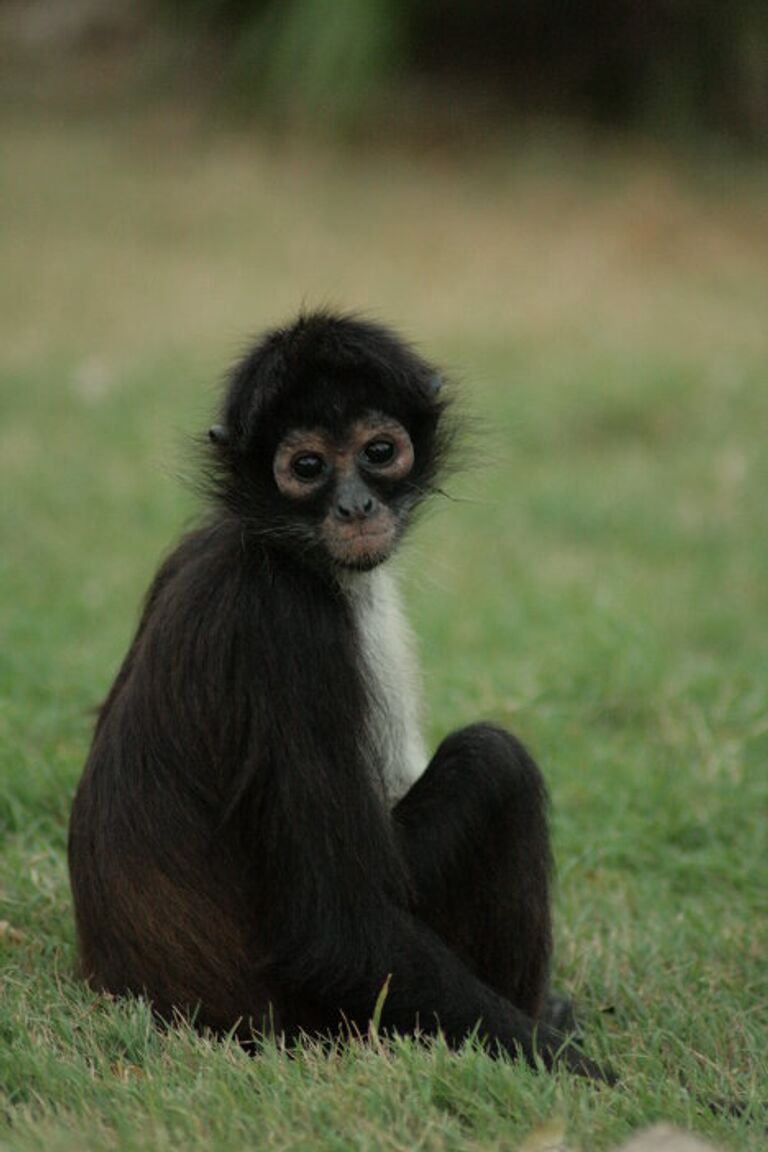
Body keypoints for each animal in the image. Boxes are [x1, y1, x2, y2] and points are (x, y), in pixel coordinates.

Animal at [66, 311, 607, 1073]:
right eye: (308, 467)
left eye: (379, 452)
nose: (355, 506)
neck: (279, 549)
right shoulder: (287, 626)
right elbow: (337, 935)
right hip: (326, 1022)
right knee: (494, 763)